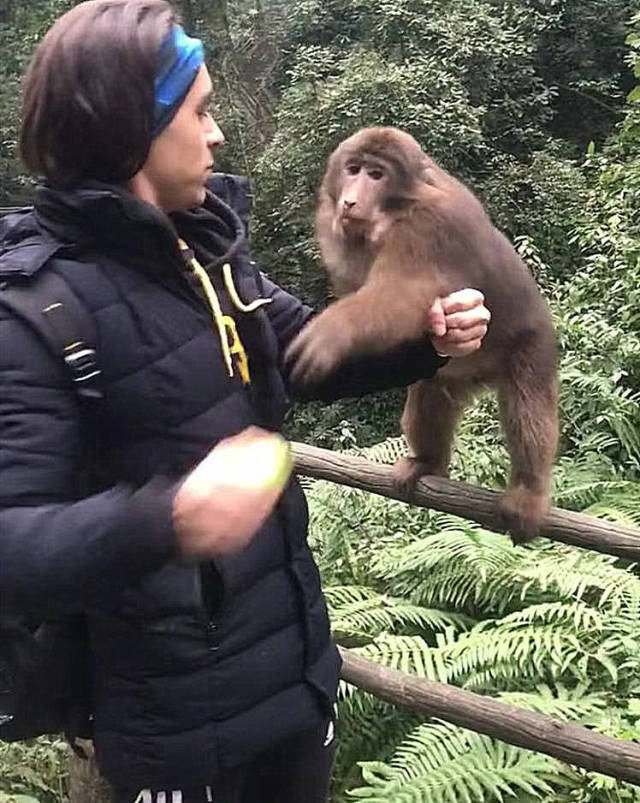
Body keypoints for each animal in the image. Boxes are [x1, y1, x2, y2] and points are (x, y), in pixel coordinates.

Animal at [286, 127, 560, 540]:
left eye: (376, 175)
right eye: (353, 169)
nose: (350, 200)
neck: (393, 214)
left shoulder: (431, 226)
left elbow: (405, 291)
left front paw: (333, 331)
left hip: (533, 345)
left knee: (527, 407)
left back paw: (529, 491)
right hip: (454, 373)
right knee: (430, 393)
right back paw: (428, 462)